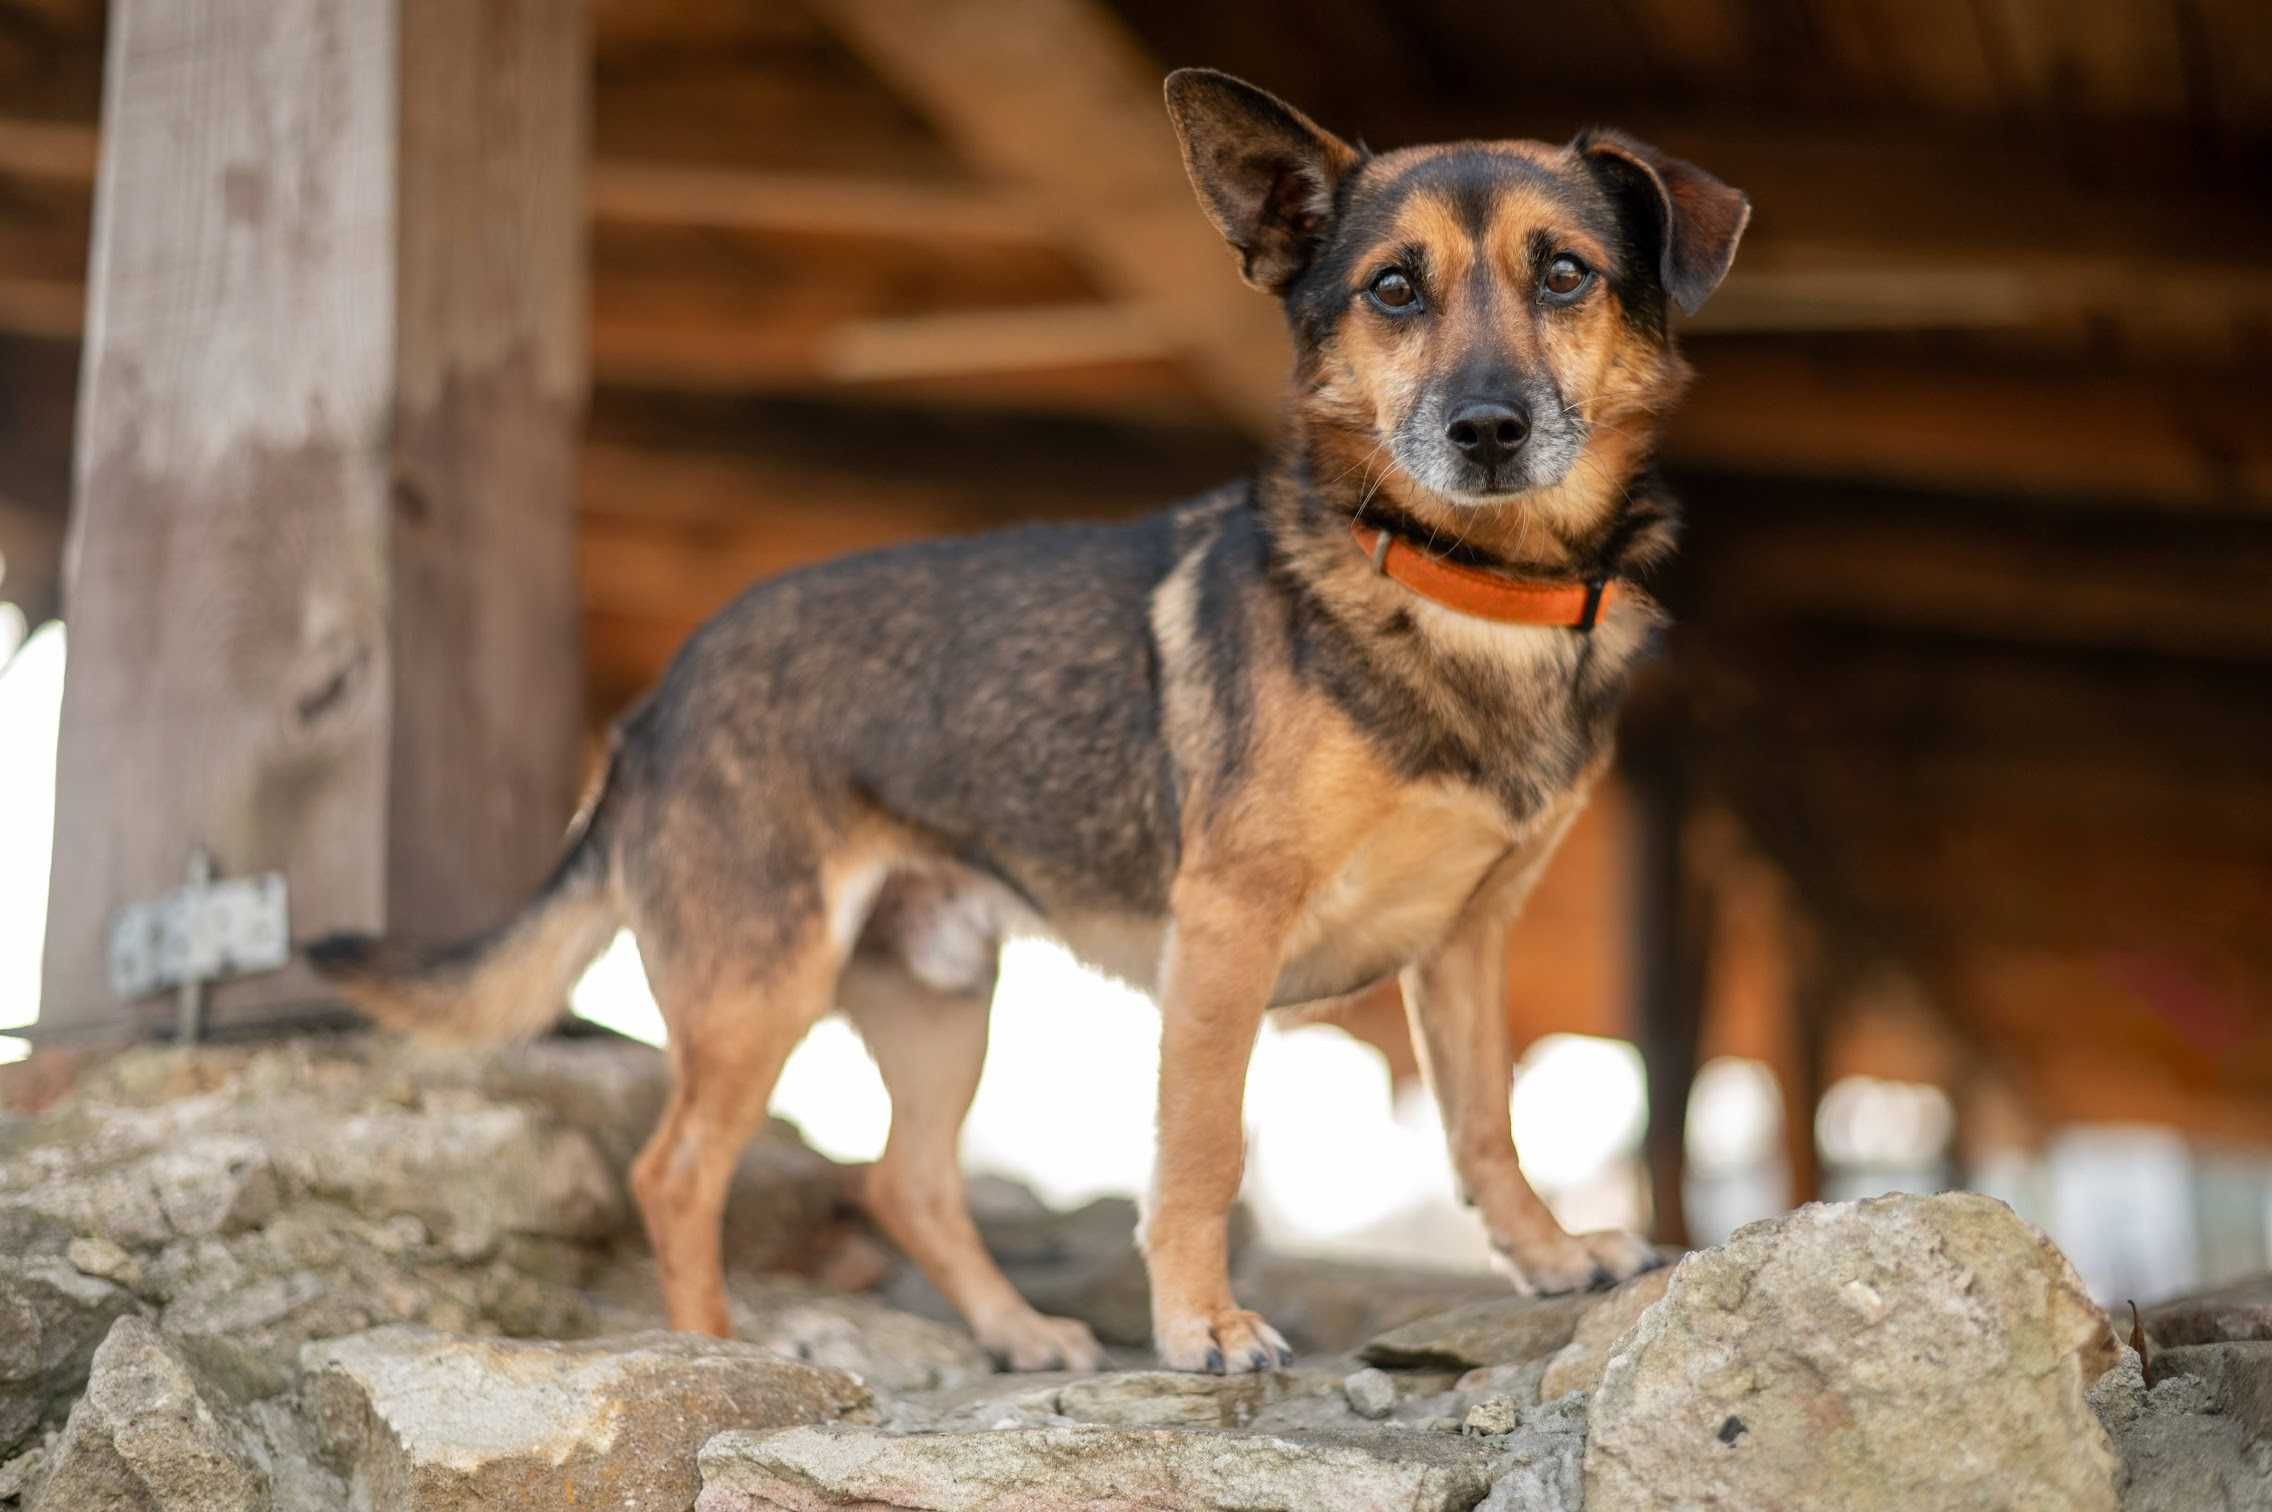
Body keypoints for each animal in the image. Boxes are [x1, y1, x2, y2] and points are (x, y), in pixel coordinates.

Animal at [311, 67, 1744, 1364]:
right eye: (1393, 289)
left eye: (1564, 275)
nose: (1487, 429)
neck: (1469, 588)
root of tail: (656, 701)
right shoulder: (1225, 931)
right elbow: (1201, 1149)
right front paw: (1201, 1325)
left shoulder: (1466, 940)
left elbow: (1485, 1120)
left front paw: (1548, 1255)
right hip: (760, 980)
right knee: (677, 1172)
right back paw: (713, 1353)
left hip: (940, 1000)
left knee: (904, 1182)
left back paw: (1016, 1331)